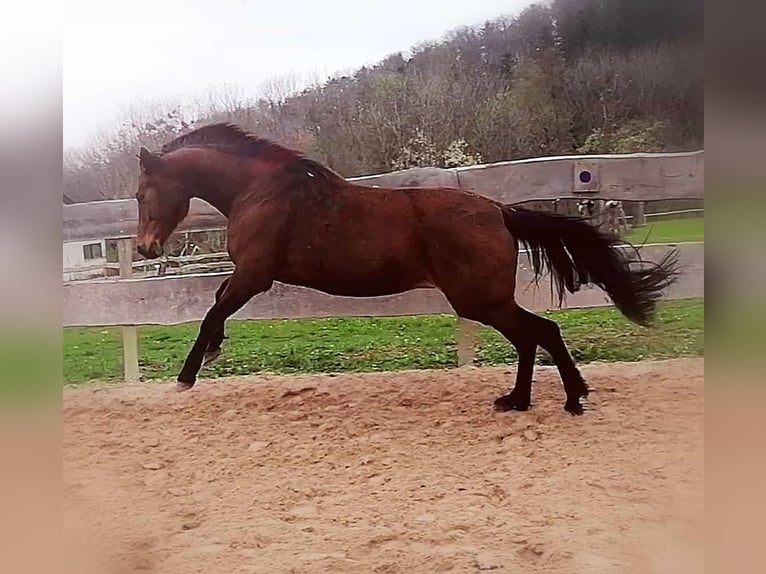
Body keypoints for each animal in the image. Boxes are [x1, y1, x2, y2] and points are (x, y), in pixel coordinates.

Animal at [134, 124, 680, 416]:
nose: (143, 248)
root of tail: (499, 211)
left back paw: (567, 400)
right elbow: (215, 306)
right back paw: (521, 400)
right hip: (486, 301)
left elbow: (212, 311)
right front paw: (211, 355)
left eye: (141, 193)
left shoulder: (254, 275)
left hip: (480, 300)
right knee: (534, 336)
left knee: (540, 332)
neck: (262, 192)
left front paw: (187, 375)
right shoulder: (249, 275)